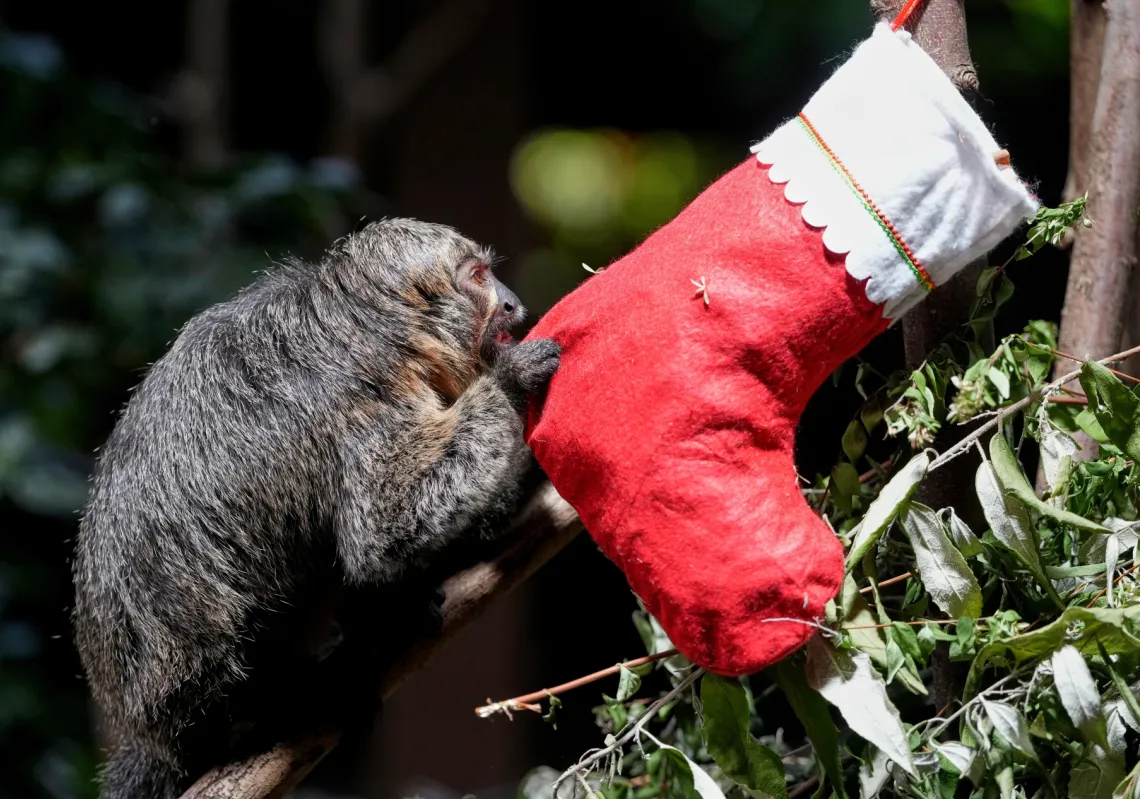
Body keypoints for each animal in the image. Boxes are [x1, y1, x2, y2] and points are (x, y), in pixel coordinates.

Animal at [70, 218, 561, 799]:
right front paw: (511, 379)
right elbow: (385, 528)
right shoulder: (359, 397)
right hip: (198, 688)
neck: (378, 334)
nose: (510, 302)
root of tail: (154, 737)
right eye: (480, 277)